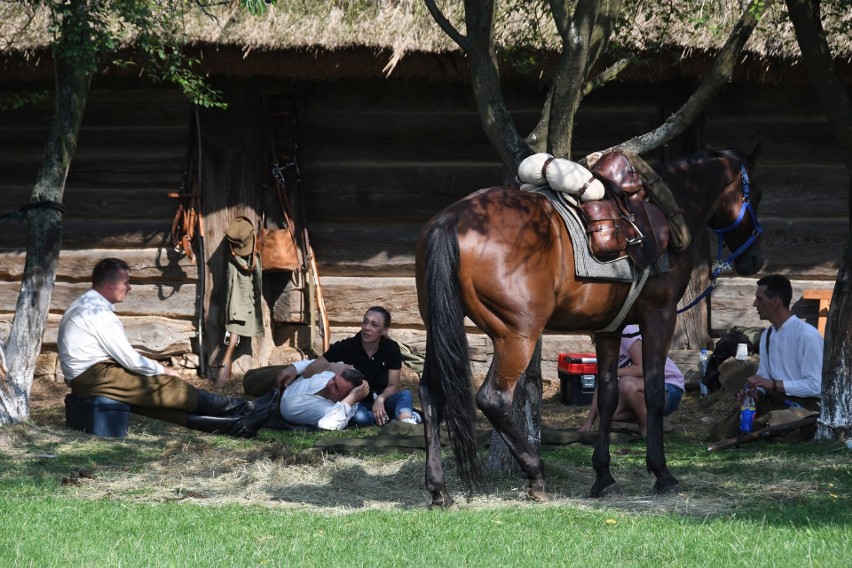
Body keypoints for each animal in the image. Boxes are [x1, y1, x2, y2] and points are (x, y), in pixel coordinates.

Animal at [412, 148, 764, 510]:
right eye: (756, 195)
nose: (754, 260)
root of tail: (452, 220)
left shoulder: (609, 330)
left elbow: (607, 396)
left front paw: (603, 475)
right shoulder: (659, 316)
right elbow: (653, 392)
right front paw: (661, 472)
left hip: (439, 327)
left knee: (431, 395)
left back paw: (440, 489)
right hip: (517, 335)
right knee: (493, 399)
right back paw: (536, 475)